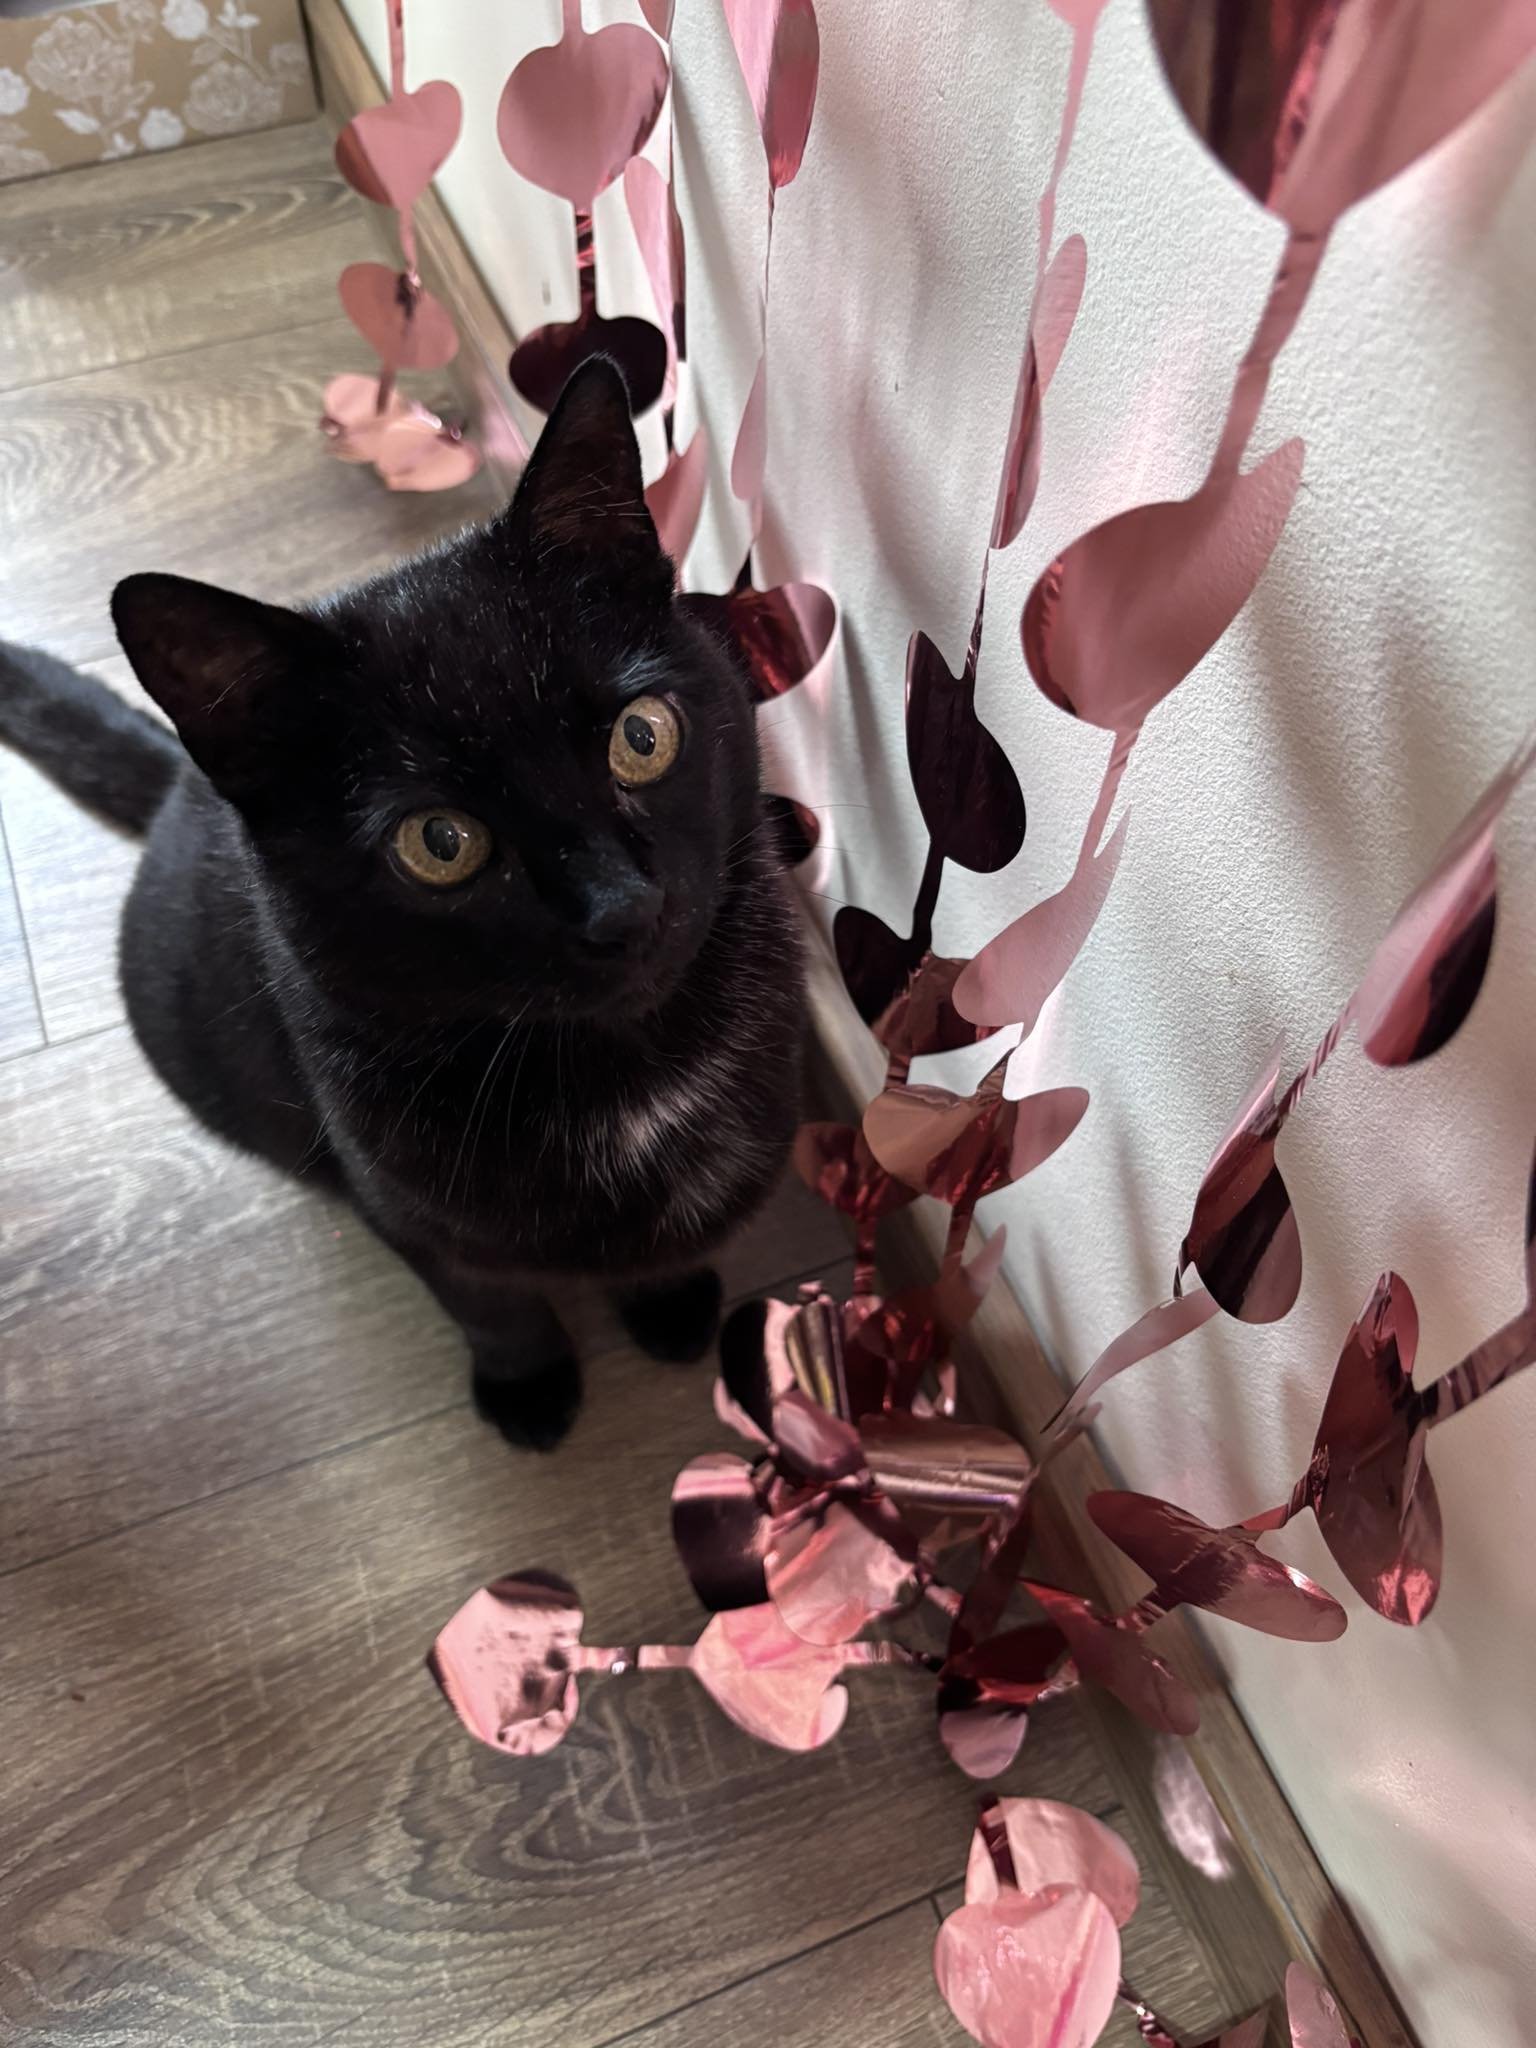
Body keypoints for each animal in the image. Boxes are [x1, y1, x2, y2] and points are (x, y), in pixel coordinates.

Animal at [0, 358, 805, 1449]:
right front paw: (529, 1387)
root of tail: (179, 780)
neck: (629, 1070)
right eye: (440, 842)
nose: (622, 906)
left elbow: (665, 1240)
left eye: (642, 737)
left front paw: (671, 1302)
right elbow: (490, 1302)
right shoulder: (401, 1200)